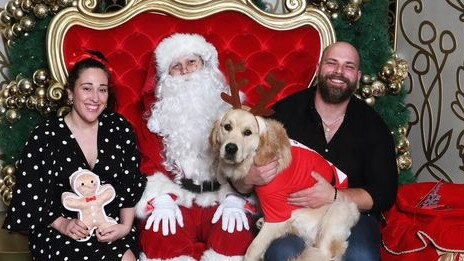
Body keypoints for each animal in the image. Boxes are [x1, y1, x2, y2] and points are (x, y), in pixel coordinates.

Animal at [210, 108, 358, 260]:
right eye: (227, 127)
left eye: (247, 132)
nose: (230, 148)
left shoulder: (278, 213)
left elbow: (253, 248)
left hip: (340, 207)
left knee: (325, 253)